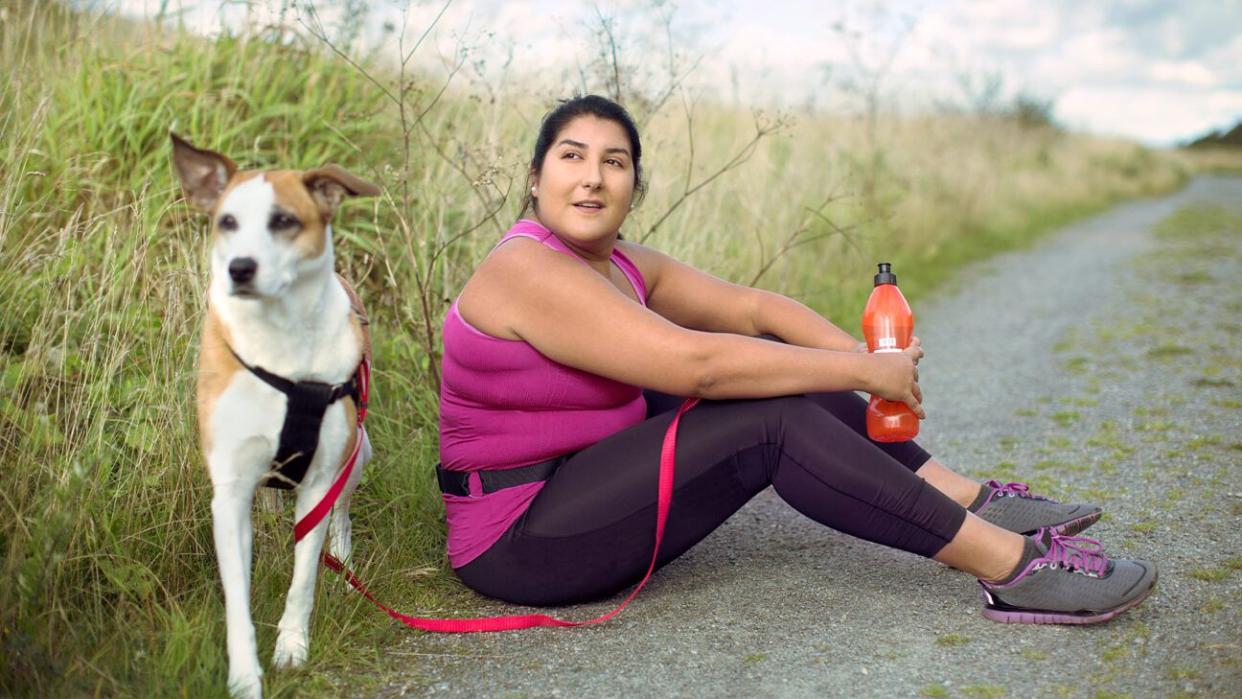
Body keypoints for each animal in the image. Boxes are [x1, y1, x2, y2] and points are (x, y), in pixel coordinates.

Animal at [171, 134, 377, 695]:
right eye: (227, 221)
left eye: (284, 220)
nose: (239, 268)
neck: (280, 338)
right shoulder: (230, 490)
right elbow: (236, 597)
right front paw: (245, 676)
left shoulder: (320, 481)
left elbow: (303, 578)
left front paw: (291, 648)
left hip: (357, 452)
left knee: (341, 516)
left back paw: (344, 568)